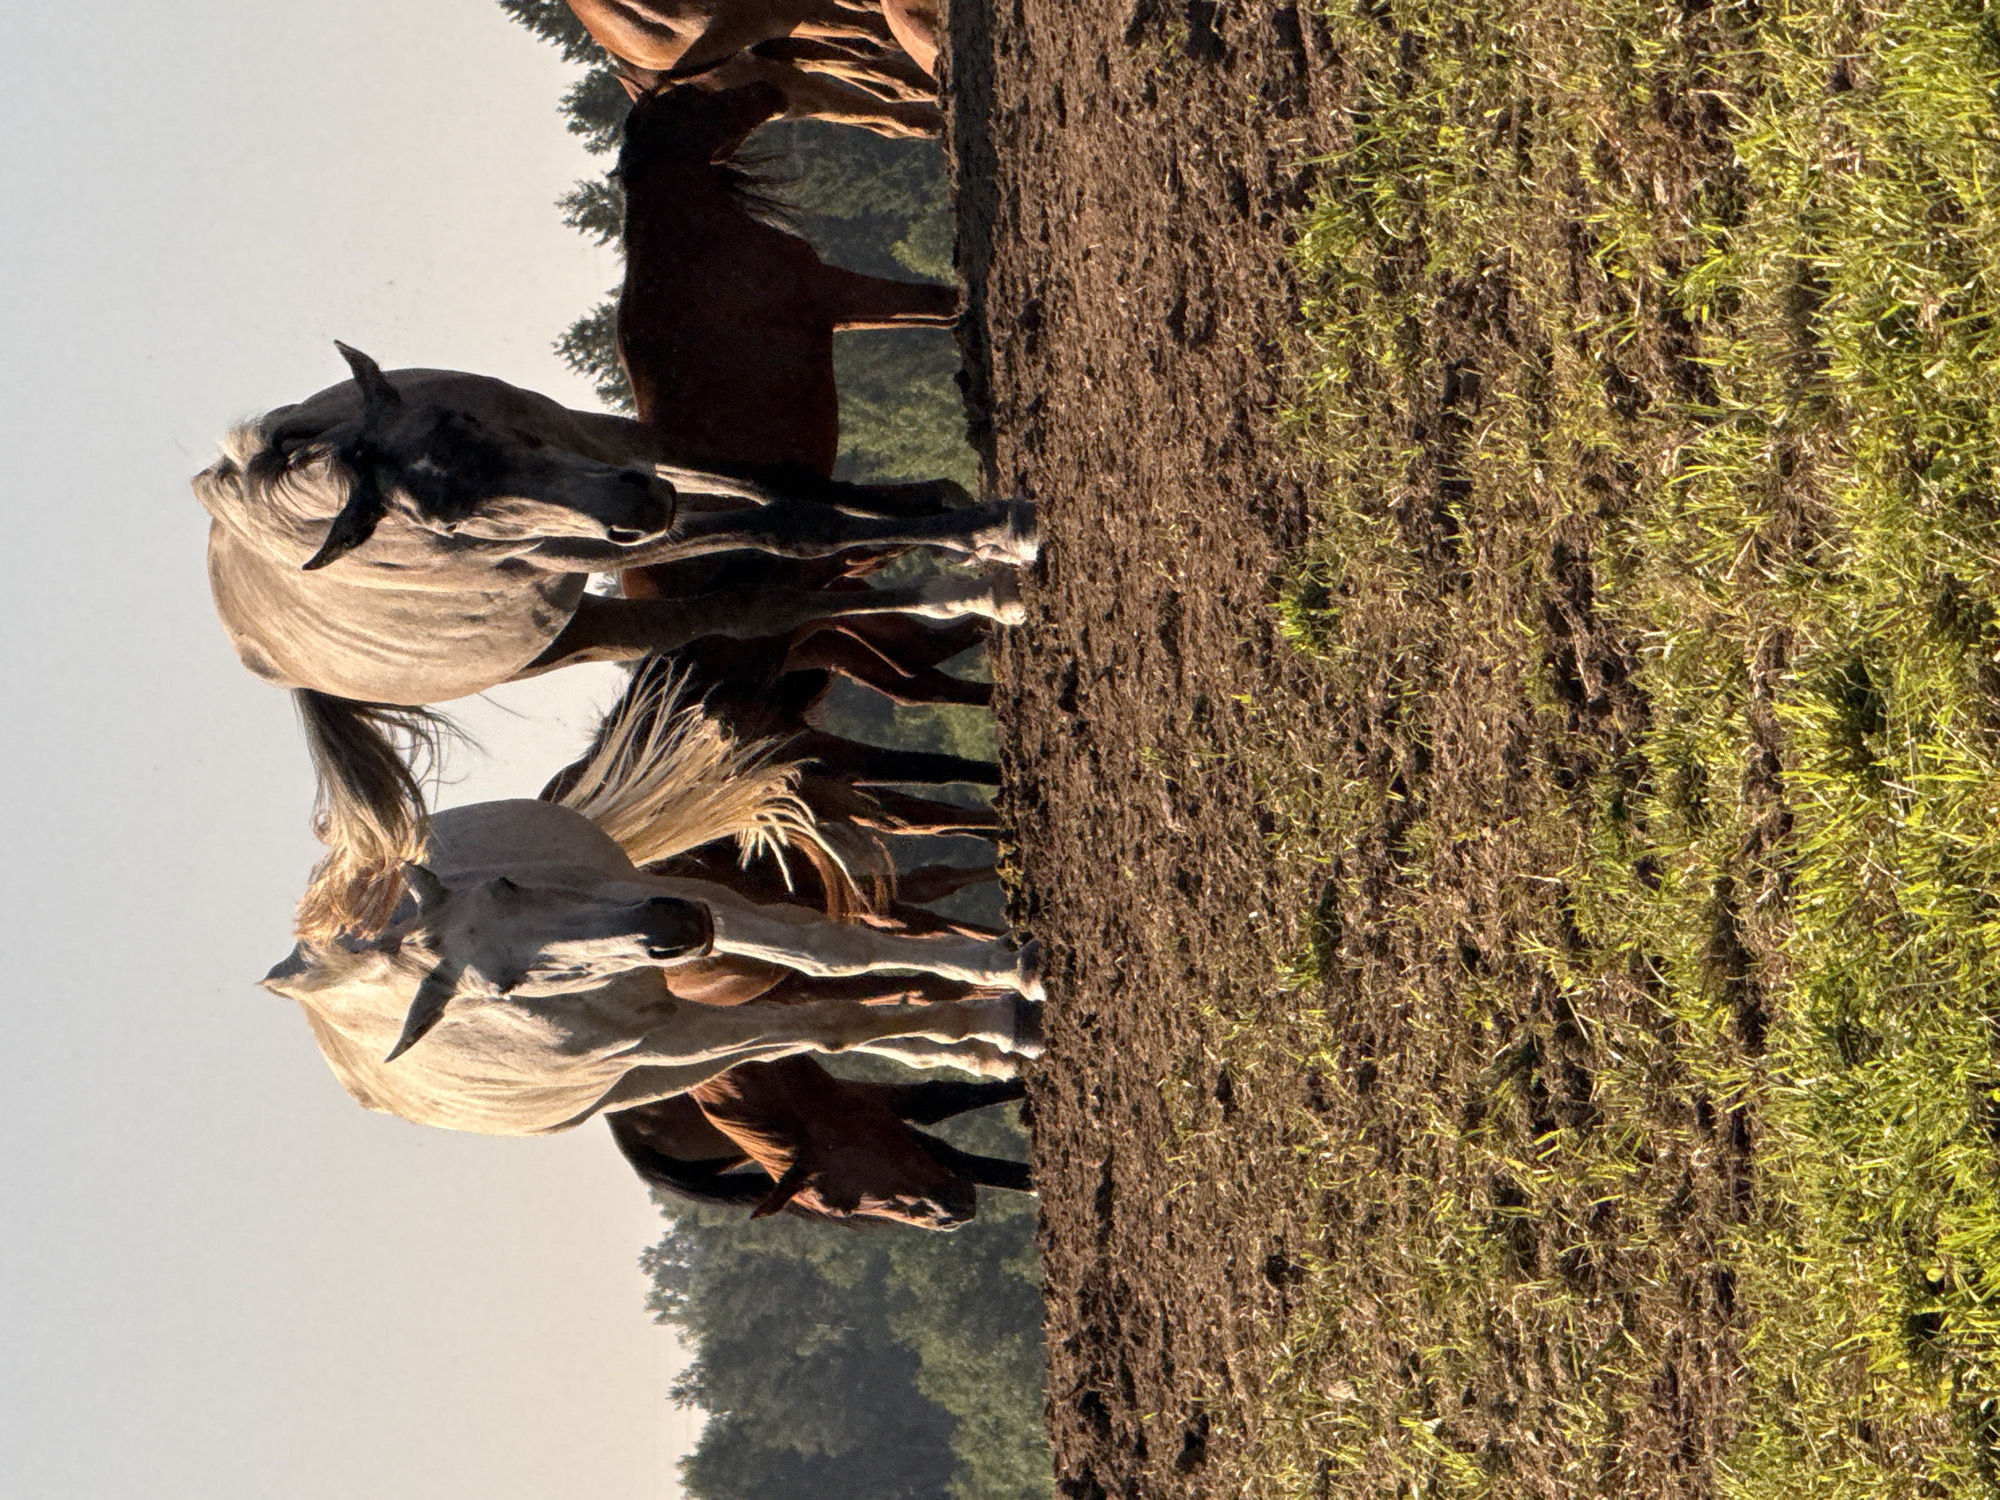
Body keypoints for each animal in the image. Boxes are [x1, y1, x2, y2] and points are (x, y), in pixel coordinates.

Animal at [264, 674, 1043, 1136]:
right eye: (503, 988)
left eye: (508, 885)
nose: (668, 931)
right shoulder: (672, 1032)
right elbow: (832, 1023)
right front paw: (1005, 1022)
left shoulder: (659, 896)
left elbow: (830, 950)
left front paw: (1012, 969)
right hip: (652, 1071)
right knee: (820, 1027)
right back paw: (978, 1047)